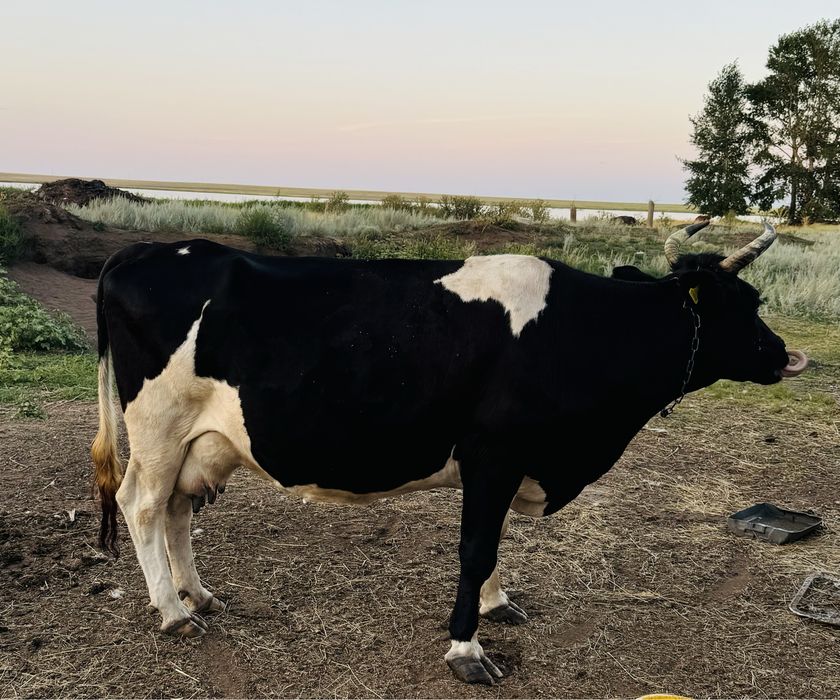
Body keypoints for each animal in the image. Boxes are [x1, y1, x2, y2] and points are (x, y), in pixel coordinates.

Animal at [91, 221, 807, 685]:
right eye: (748, 302)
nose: (786, 355)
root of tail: (143, 249)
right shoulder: (496, 452)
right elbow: (476, 547)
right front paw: (467, 647)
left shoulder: (504, 464)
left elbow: (491, 543)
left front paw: (496, 605)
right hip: (157, 426)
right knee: (143, 504)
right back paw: (172, 614)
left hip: (199, 440)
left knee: (178, 509)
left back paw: (197, 596)